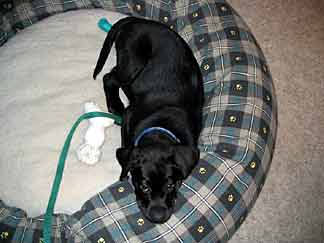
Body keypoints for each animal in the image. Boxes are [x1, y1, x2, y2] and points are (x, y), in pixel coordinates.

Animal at [92, 16, 204, 223]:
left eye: (170, 186)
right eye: (144, 187)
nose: (158, 217)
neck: (160, 128)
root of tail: (136, 21)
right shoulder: (129, 118)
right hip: (133, 63)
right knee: (109, 77)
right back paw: (116, 106)